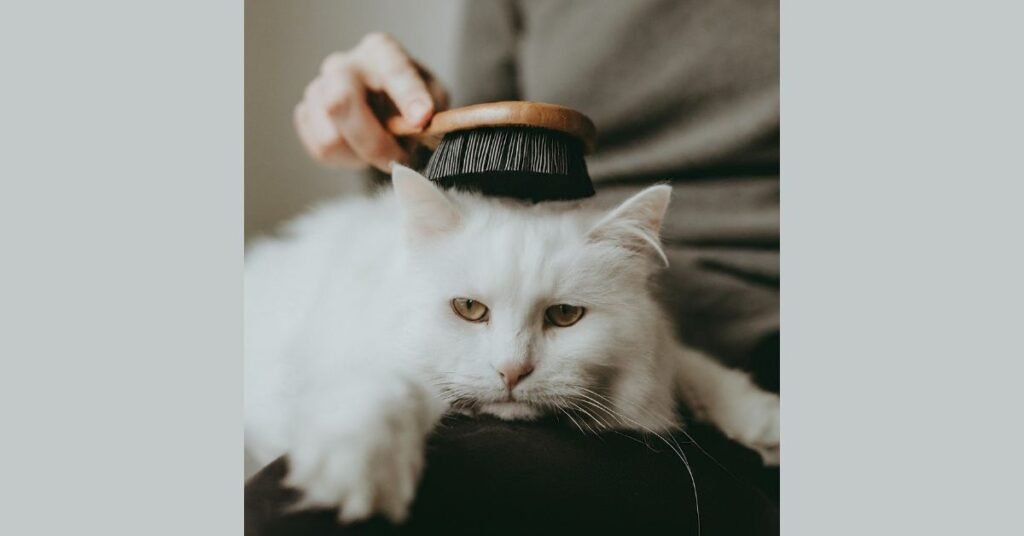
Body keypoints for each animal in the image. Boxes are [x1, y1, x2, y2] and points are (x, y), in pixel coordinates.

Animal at [243, 165, 778, 524]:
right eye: (469, 309)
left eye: (564, 316)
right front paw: (358, 473)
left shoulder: (665, 356)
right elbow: (383, 397)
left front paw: (761, 421)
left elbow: (693, 366)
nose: (512, 371)